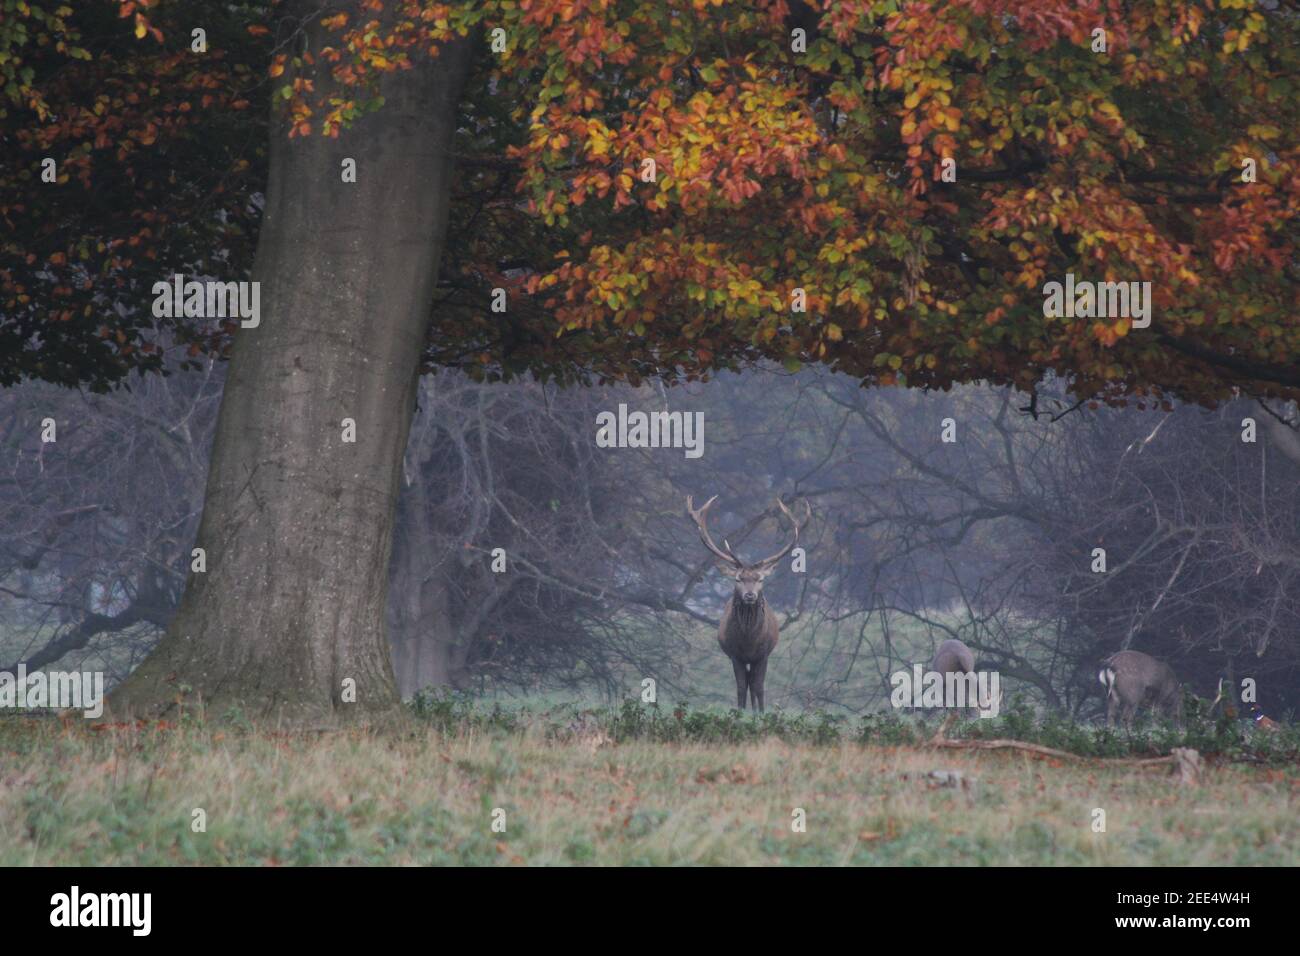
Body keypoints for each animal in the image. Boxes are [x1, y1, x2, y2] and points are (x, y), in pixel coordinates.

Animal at [686, 495, 810, 712]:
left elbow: (759, 686)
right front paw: (741, 712)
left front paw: (761, 713)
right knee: (748, 682)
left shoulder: (763, 654)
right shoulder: (735, 655)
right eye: (738, 579)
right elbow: (741, 687)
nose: (750, 595)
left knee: (754, 683)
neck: (749, 641)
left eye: (760, 579)